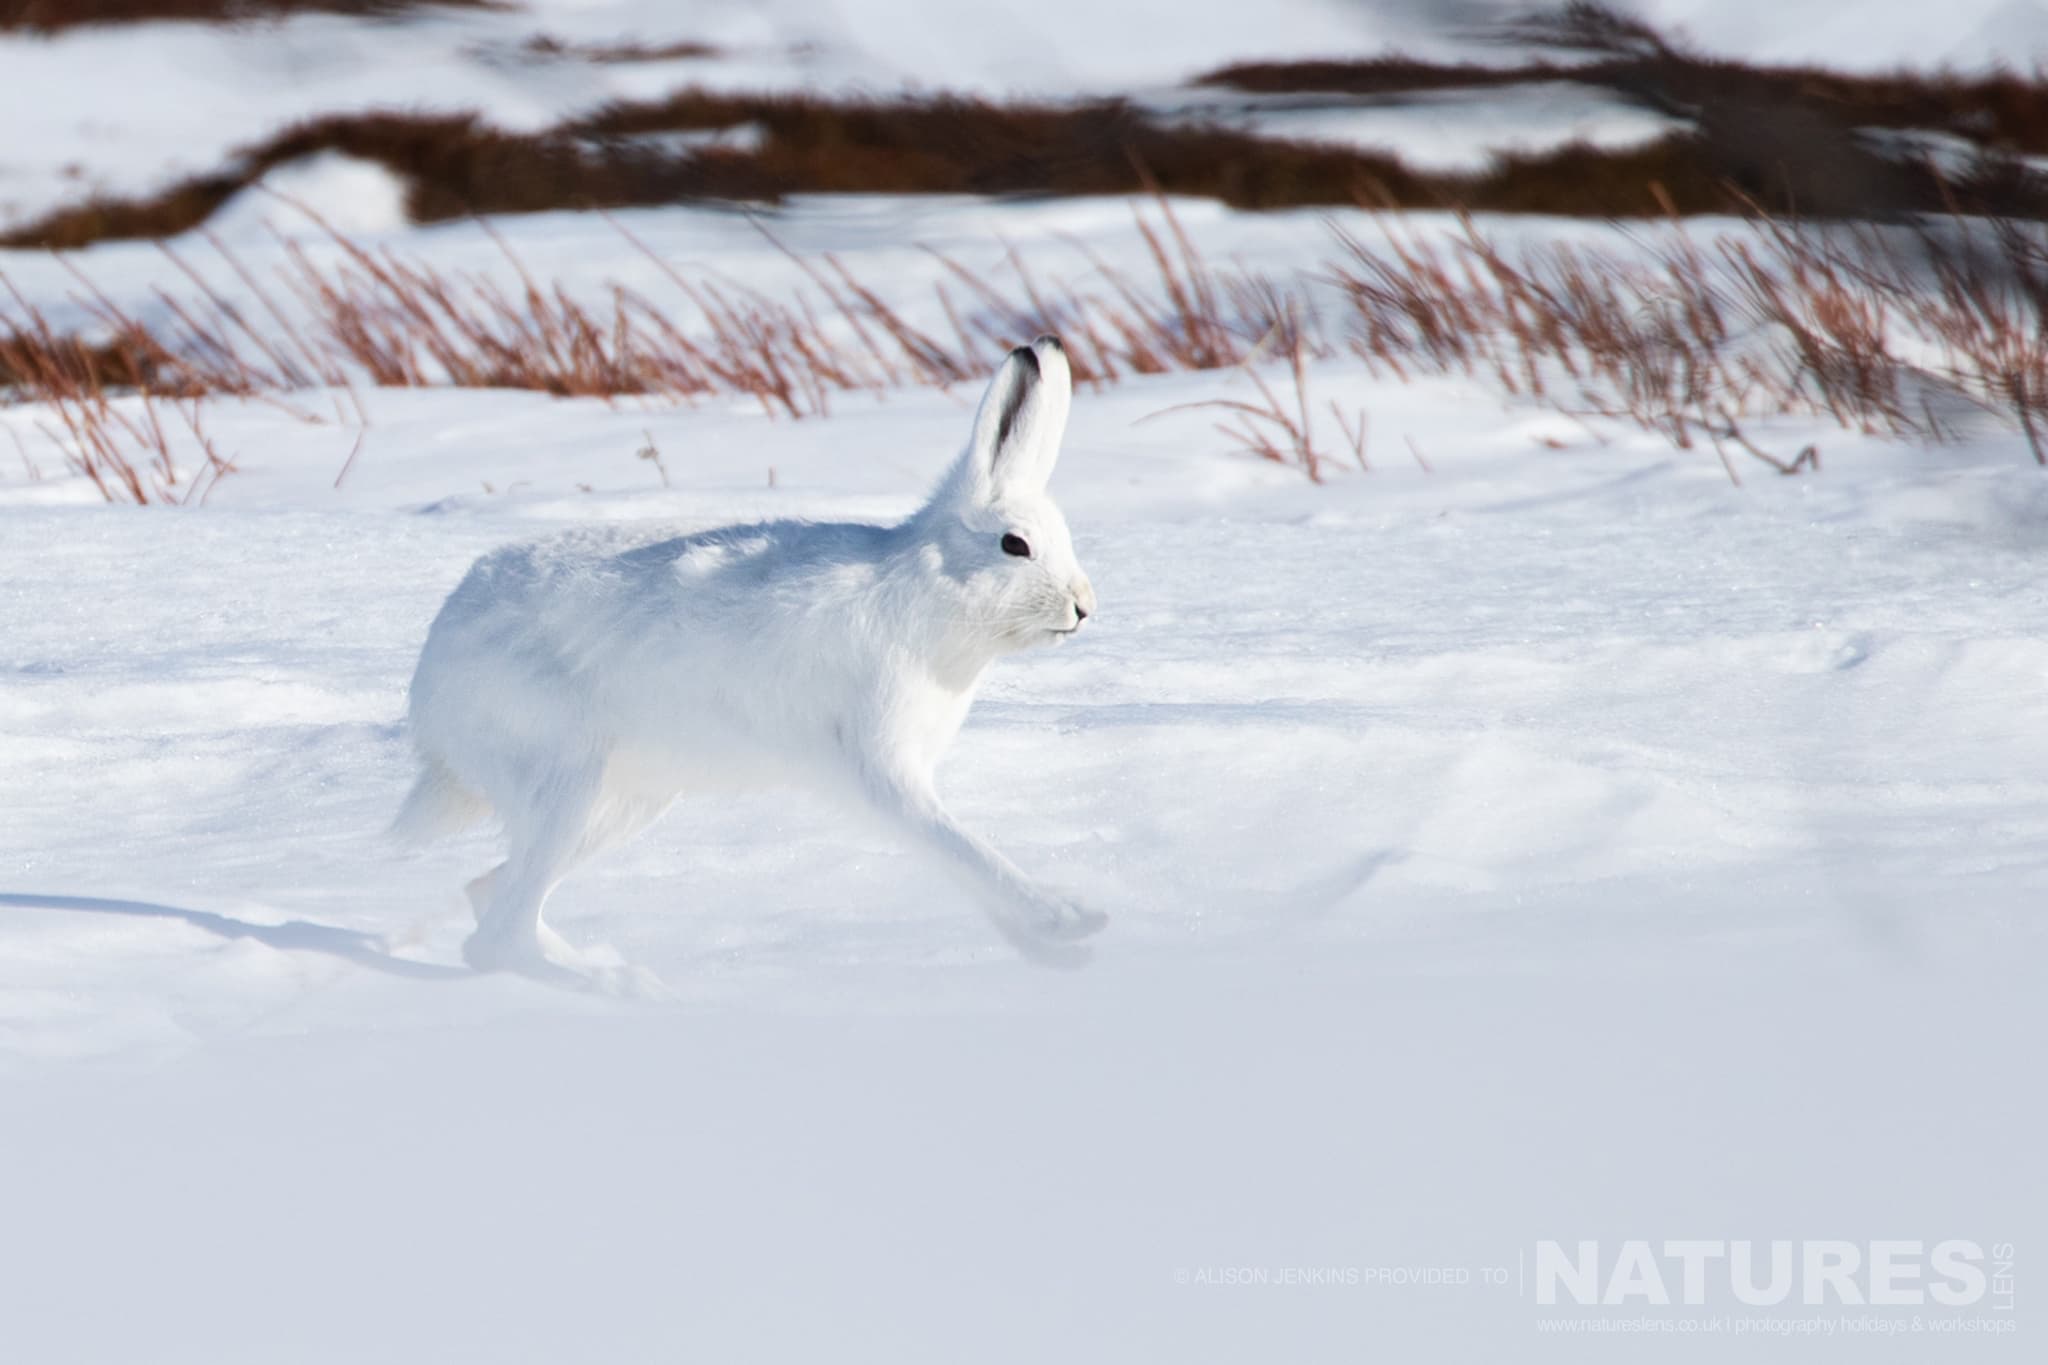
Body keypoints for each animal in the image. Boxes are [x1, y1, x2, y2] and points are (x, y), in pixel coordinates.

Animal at [393, 334, 1105, 990]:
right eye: (1014, 545)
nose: (1084, 606)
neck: (926, 591)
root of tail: (432, 699)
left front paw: (1052, 951)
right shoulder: (880, 764)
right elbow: (956, 845)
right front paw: (1068, 922)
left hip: (628, 799)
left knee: (490, 897)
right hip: (565, 778)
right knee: (500, 933)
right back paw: (622, 985)